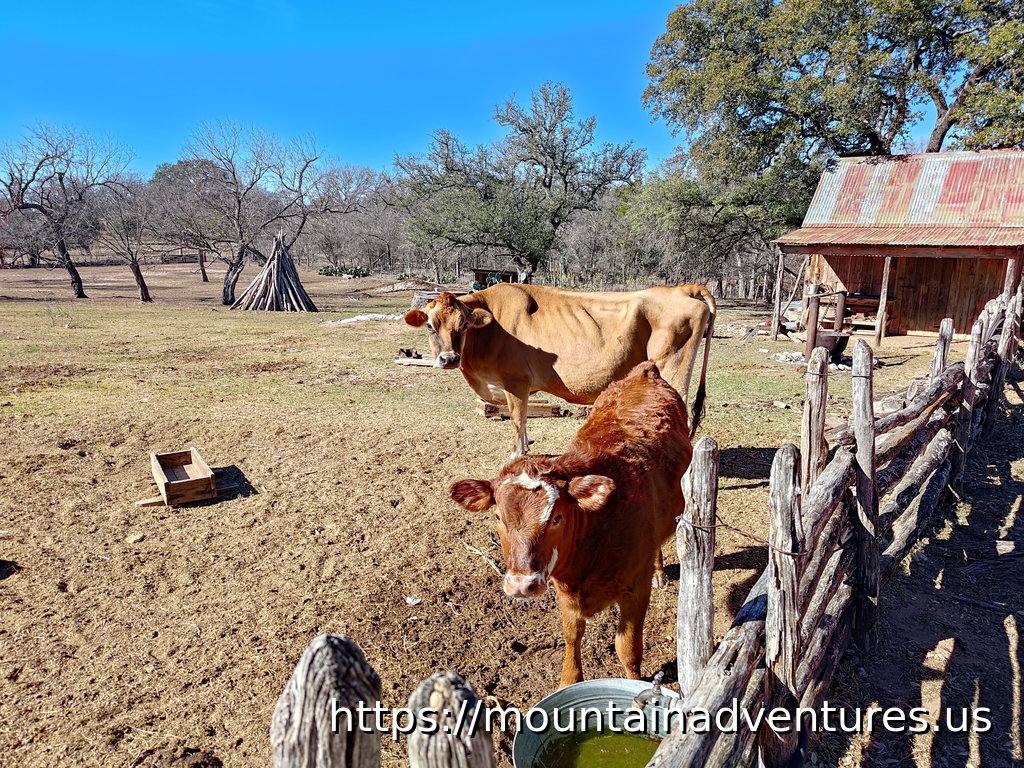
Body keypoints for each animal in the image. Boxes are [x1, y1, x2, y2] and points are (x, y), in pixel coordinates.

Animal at [404, 282, 715, 457]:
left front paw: (516, 456)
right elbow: (523, 422)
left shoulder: (515, 381)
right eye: (430, 325)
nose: (449, 358)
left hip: (672, 369)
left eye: (464, 325)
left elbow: (518, 420)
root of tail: (682, 289)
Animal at [449, 361, 692, 687]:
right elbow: (571, 636)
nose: (521, 584)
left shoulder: (636, 590)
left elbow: (627, 648)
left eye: (556, 517)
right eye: (498, 516)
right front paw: (568, 679)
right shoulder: (564, 592)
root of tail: (644, 369)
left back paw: (660, 573)